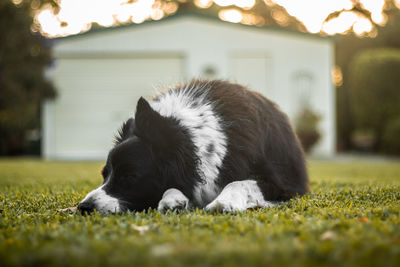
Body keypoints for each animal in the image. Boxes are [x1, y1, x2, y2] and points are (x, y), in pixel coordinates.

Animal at [78, 80, 310, 215]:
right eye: (104, 175)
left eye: (129, 177)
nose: (83, 207)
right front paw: (173, 199)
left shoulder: (283, 186)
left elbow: (239, 182)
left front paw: (223, 202)